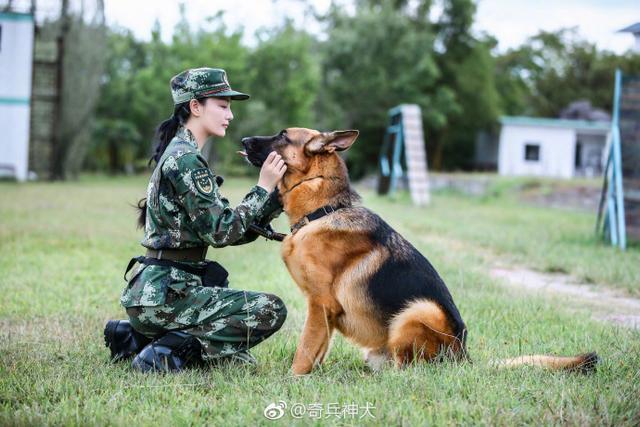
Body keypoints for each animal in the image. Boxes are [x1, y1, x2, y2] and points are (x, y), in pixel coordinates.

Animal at [239, 129, 596, 376]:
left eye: (283, 135)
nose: (242, 139)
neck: (323, 211)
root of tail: (464, 357)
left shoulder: (319, 305)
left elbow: (304, 349)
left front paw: (293, 380)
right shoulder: (324, 314)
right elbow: (317, 350)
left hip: (418, 311)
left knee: (410, 372)